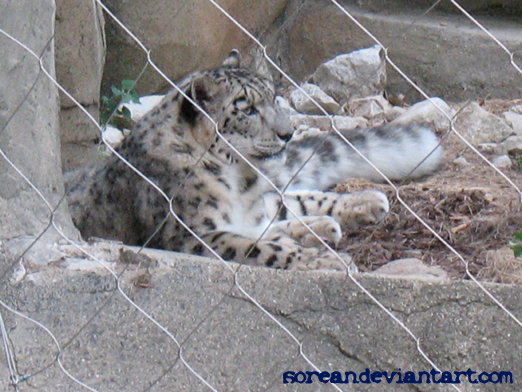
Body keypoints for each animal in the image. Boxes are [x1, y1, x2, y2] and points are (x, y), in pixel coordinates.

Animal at [65, 50, 438, 272]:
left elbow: (279, 215)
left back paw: (358, 205)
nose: (287, 133)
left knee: (285, 201)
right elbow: (258, 247)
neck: (240, 178)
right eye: (246, 109)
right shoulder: (192, 233)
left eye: (274, 98)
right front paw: (322, 261)